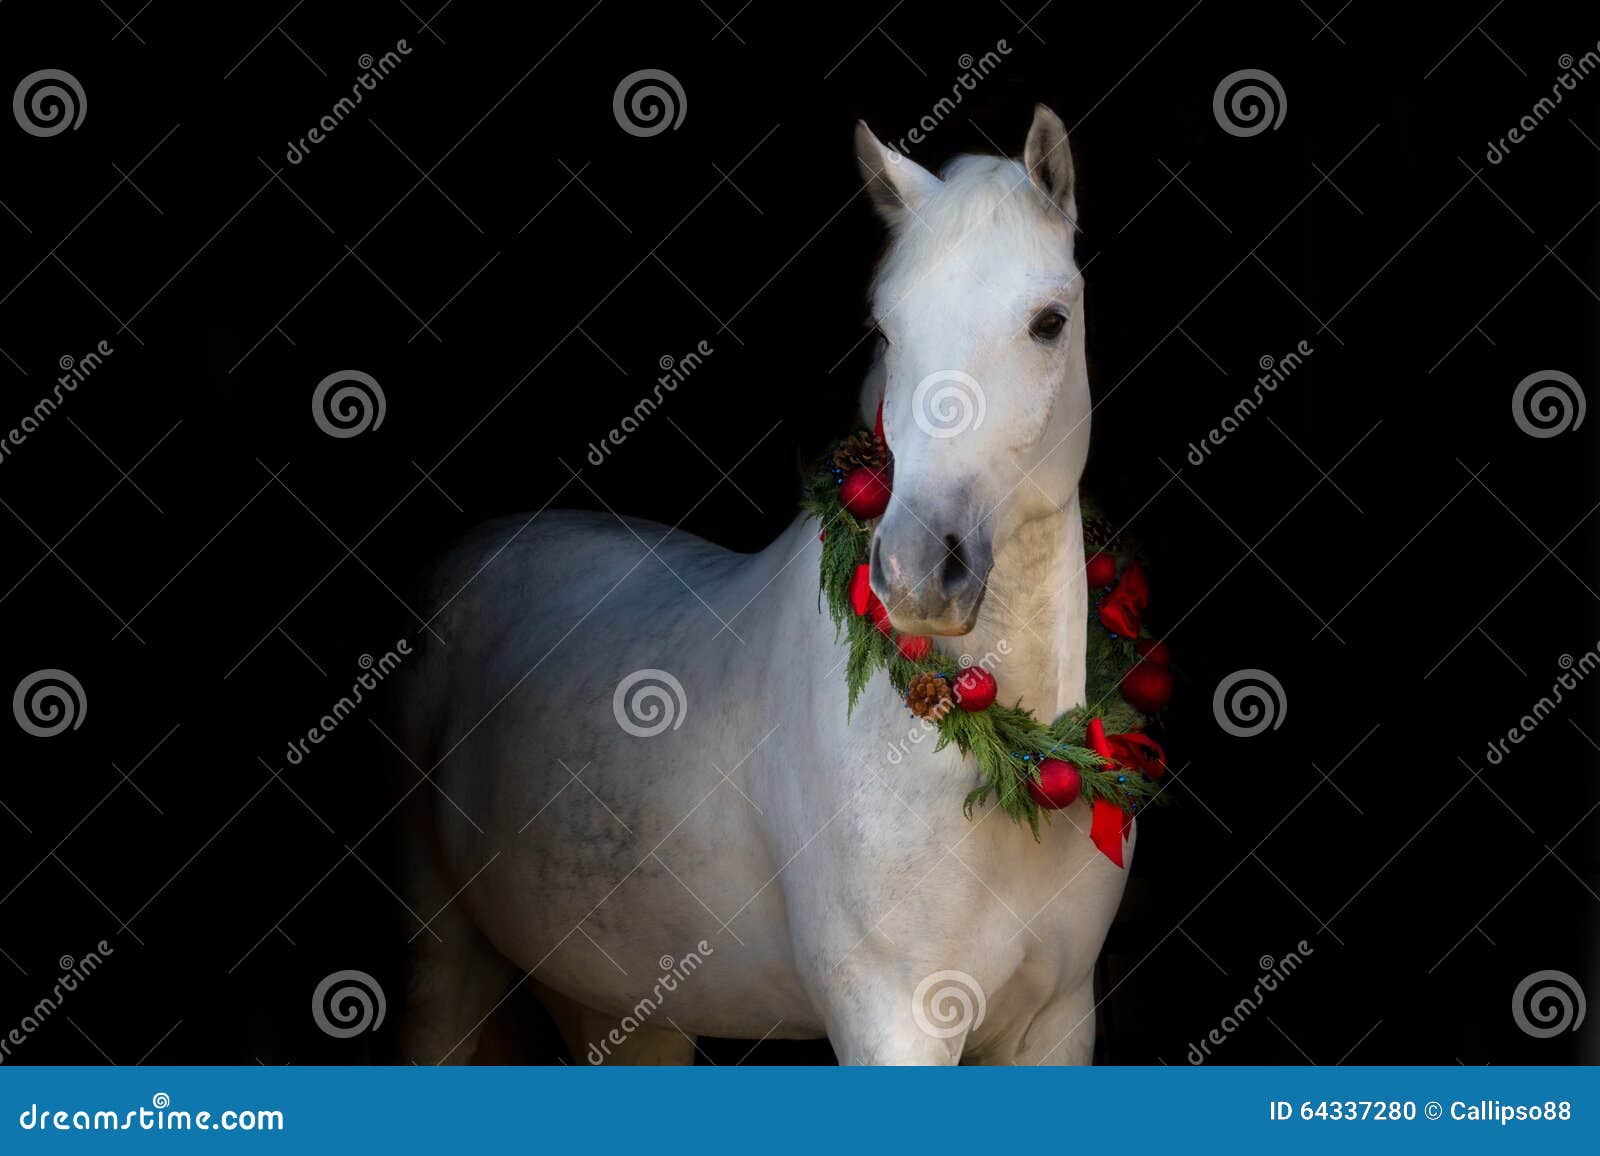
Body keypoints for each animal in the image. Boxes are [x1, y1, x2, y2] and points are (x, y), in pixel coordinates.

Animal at [393, 108, 1132, 1063]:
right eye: (886, 331)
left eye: (1049, 322)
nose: (916, 572)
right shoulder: (894, 1020)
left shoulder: (1058, 1023)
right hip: (442, 957)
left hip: (630, 1009)